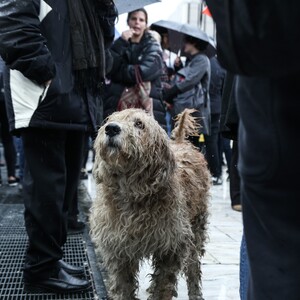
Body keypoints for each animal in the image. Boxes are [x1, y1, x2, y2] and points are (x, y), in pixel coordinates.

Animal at [90, 108, 210, 300]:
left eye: (139, 124)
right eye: (110, 120)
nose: (111, 129)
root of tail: (181, 142)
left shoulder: (171, 247)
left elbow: (163, 284)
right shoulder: (118, 250)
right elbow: (123, 286)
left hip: (196, 227)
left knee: (193, 265)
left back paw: (195, 293)